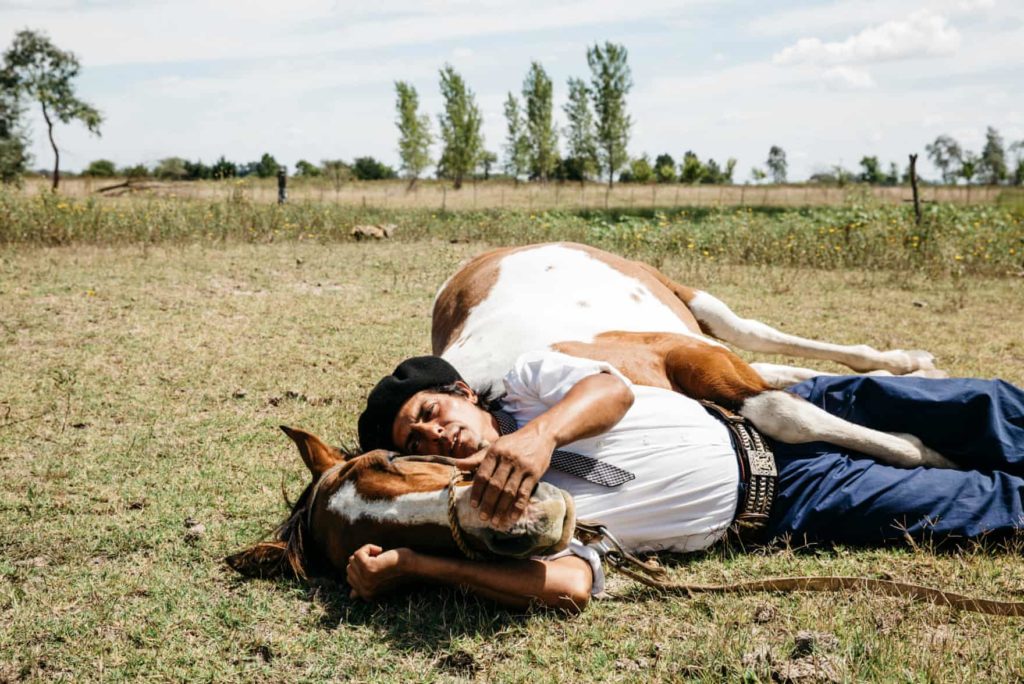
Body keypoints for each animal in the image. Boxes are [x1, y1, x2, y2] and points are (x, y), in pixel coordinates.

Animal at [432, 241, 950, 471]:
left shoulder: (681, 353)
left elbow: (785, 415)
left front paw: (922, 450)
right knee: (769, 366)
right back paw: (919, 371)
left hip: (695, 306)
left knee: (755, 335)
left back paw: (908, 363)